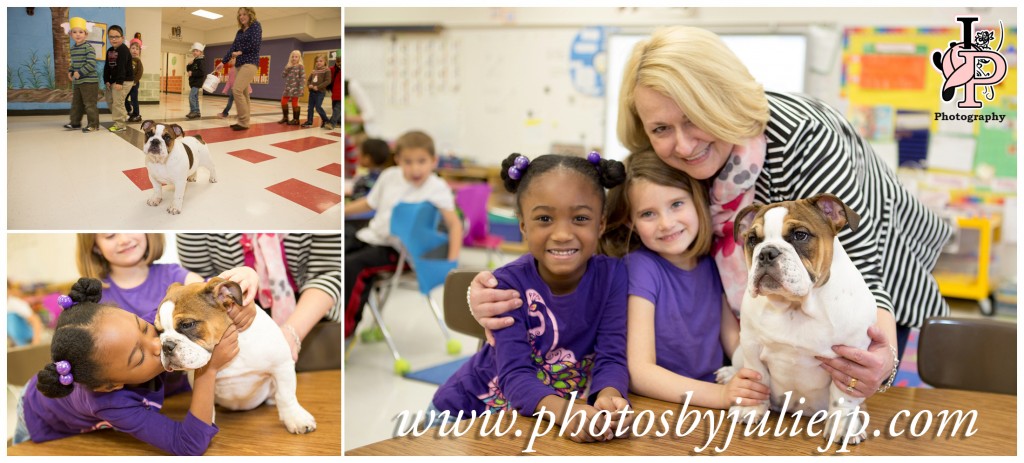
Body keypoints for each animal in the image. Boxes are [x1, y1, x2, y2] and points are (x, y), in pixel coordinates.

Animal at [154, 278, 315, 434]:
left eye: (187, 324)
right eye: (158, 331)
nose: (166, 346)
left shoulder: (282, 365)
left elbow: (285, 395)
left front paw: (296, 418)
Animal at [716, 192, 876, 444]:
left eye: (800, 235)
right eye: (752, 239)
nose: (767, 252)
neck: (794, 306)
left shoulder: (851, 360)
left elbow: (843, 398)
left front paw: (843, 426)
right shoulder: (751, 345)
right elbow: (757, 378)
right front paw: (750, 409)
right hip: (741, 351)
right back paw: (729, 374)